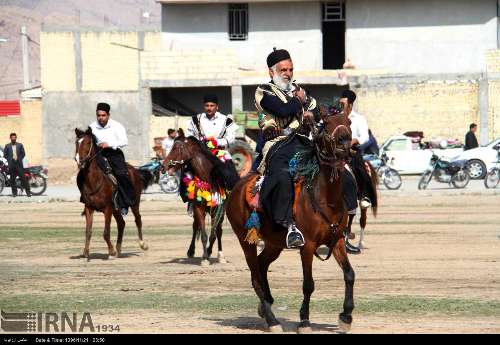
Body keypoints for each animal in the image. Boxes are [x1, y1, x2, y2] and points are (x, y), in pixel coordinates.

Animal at [73, 127, 152, 260]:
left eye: (88, 142)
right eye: (76, 143)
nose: (79, 160)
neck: (95, 180)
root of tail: (135, 171)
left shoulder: (107, 209)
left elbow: (106, 232)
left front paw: (111, 252)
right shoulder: (89, 208)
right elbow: (88, 231)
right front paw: (86, 253)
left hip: (134, 203)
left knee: (138, 219)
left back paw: (142, 244)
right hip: (116, 209)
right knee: (121, 223)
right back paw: (119, 249)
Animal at [160, 136, 238, 264]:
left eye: (178, 148)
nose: (163, 167)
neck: (208, 178)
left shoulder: (217, 210)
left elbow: (214, 234)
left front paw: (212, 253)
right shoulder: (198, 208)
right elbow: (203, 235)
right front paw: (205, 258)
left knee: (219, 231)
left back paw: (220, 255)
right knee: (195, 226)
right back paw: (191, 251)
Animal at [225, 109, 358, 332]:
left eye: (348, 122)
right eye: (327, 124)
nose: (345, 143)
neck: (325, 198)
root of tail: (237, 187)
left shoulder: (337, 240)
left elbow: (349, 274)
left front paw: (346, 317)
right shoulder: (308, 246)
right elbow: (308, 284)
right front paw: (304, 321)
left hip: (274, 243)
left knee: (261, 265)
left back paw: (266, 305)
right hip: (246, 240)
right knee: (255, 277)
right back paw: (272, 320)